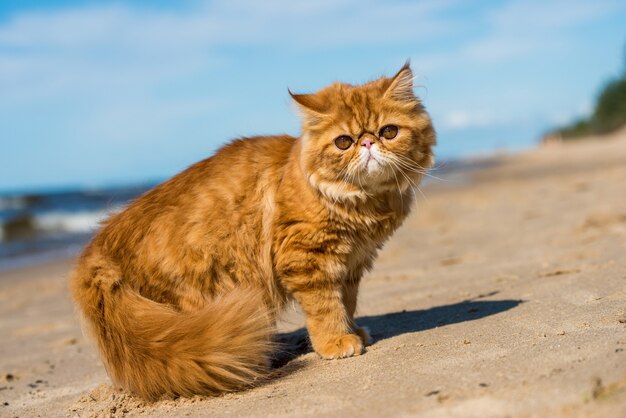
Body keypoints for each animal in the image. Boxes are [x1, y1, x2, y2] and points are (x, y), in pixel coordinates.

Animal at [69, 62, 434, 402]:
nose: (369, 142)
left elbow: (347, 302)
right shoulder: (307, 258)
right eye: (344, 142)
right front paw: (336, 342)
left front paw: (354, 330)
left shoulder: (352, 263)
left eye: (389, 132)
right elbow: (326, 307)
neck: (364, 203)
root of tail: (97, 251)